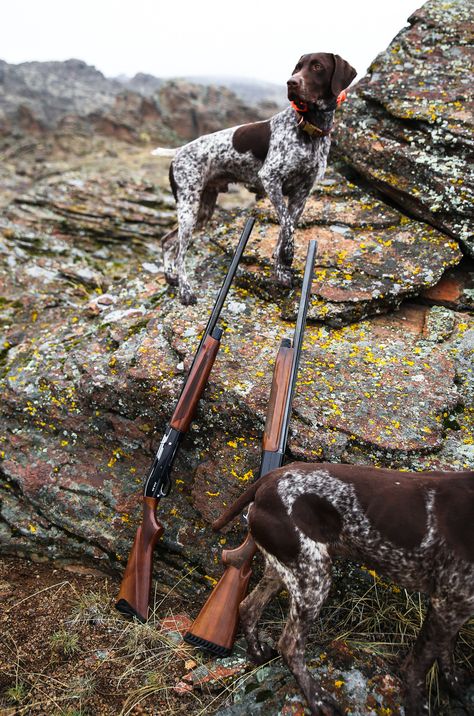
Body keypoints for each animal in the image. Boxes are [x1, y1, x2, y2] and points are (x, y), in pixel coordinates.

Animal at [154, 52, 358, 304]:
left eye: (317, 66)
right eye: (298, 67)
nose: (291, 82)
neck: (309, 128)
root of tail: (179, 151)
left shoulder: (302, 193)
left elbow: (287, 228)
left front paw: (281, 268)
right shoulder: (271, 179)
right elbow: (287, 226)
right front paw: (286, 257)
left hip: (202, 211)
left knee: (167, 241)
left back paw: (170, 276)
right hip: (188, 207)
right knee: (180, 252)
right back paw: (185, 290)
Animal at [213, 462, 472, 716]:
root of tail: (267, 481)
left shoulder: (455, 604)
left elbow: (447, 652)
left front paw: (456, 686)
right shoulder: (448, 604)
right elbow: (418, 667)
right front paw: (420, 703)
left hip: (286, 567)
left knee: (248, 607)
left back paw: (258, 654)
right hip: (314, 577)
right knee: (289, 645)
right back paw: (317, 699)